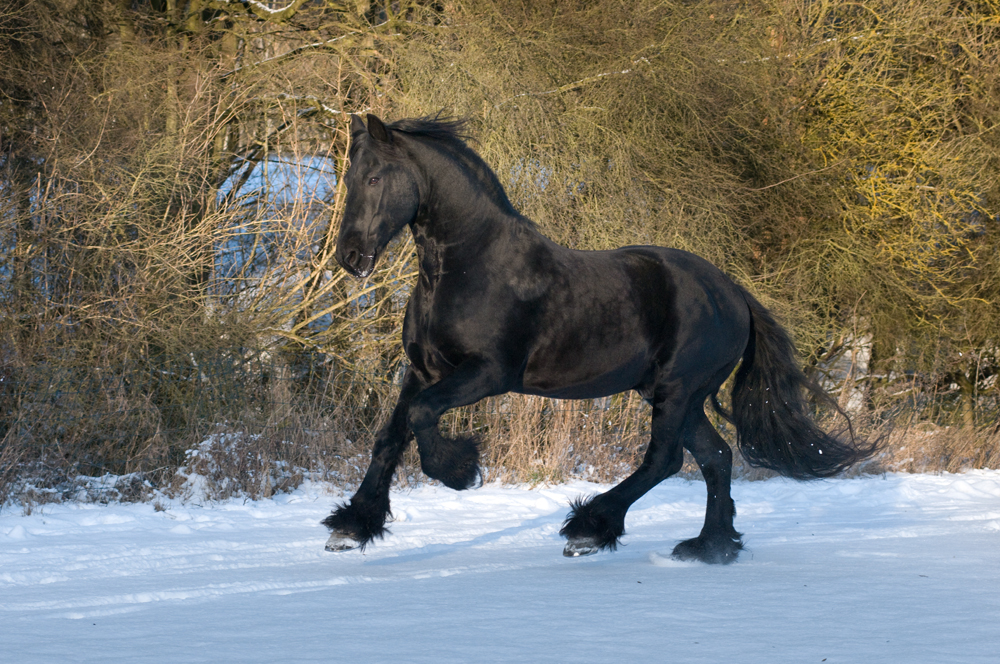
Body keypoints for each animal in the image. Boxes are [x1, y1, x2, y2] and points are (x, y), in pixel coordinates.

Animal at [322, 115, 868, 564]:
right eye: (349, 178)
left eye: (375, 177)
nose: (350, 255)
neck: (468, 266)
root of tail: (734, 294)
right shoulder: (423, 370)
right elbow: (391, 435)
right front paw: (351, 526)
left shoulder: (487, 374)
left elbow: (420, 417)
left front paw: (459, 470)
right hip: (676, 394)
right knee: (715, 458)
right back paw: (709, 546)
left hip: (678, 389)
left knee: (666, 459)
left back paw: (589, 528)